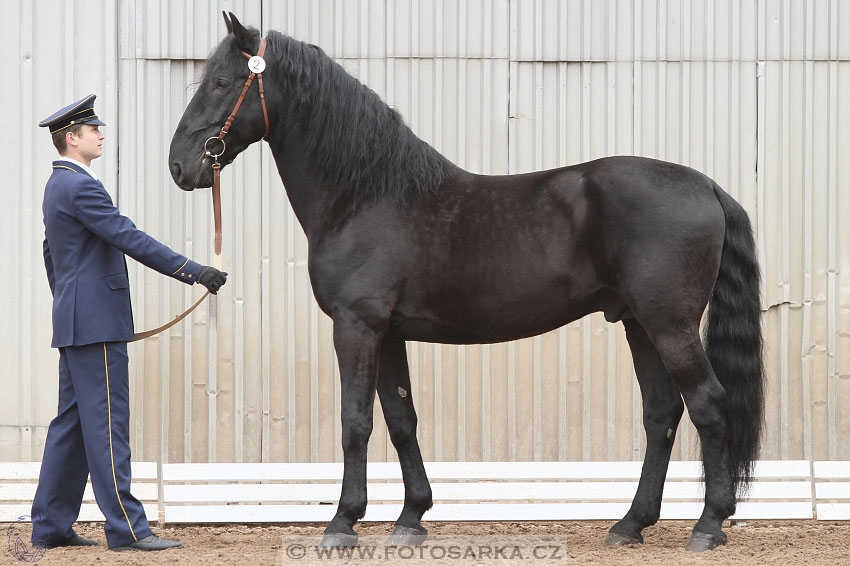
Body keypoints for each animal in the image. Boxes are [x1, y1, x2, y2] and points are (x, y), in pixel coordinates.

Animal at [169, 13, 764, 556]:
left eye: (221, 82)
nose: (178, 165)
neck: (366, 196)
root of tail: (706, 186)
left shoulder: (357, 326)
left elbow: (355, 420)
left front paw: (342, 523)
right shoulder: (389, 333)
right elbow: (402, 419)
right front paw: (410, 518)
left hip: (670, 324)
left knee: (708, 402)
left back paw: (708, 525)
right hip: (639, 324)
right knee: (662, 412)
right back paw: (630, 524)